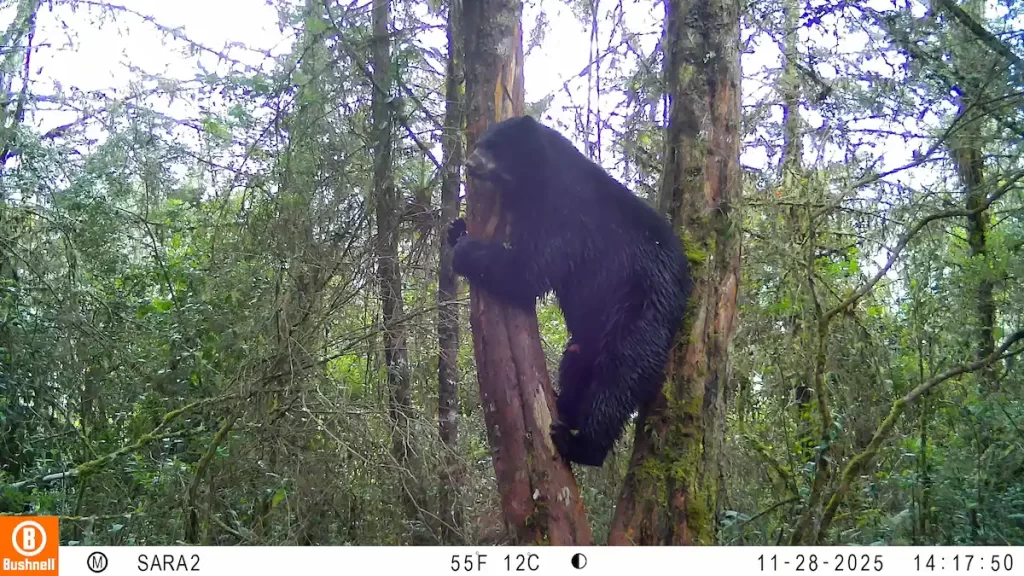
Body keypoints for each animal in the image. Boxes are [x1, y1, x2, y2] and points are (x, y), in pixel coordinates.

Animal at [448, 115, 692, 467]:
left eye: (492, 146)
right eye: (480, 142)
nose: (469, 163)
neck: (536, 176)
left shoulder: (566, 216)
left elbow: (529, 269)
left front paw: (465, 250)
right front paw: (456, 229)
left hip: (640, 310)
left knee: (620, 375)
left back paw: (581, 444)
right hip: (593, 333)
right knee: (577, 361)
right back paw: (563, 404)